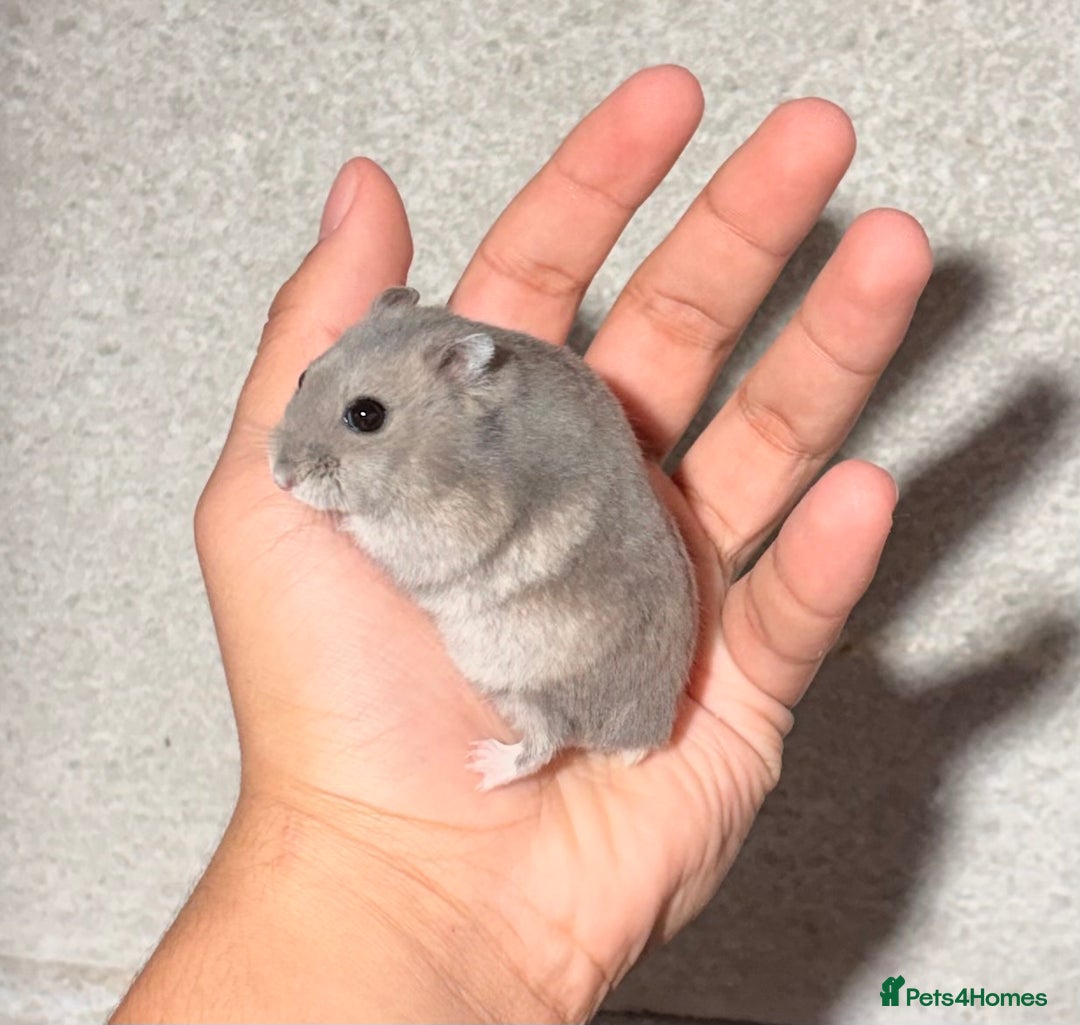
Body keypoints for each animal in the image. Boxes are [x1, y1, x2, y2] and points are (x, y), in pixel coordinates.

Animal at [270, 286, 697, 789]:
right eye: (303, 375)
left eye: (366, 415)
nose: (279, 478)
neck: (443, 446)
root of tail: (652, 731)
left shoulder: (446, 529)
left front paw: (347, 522)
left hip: (530, 687)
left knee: (544, 745)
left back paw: (481, 766)